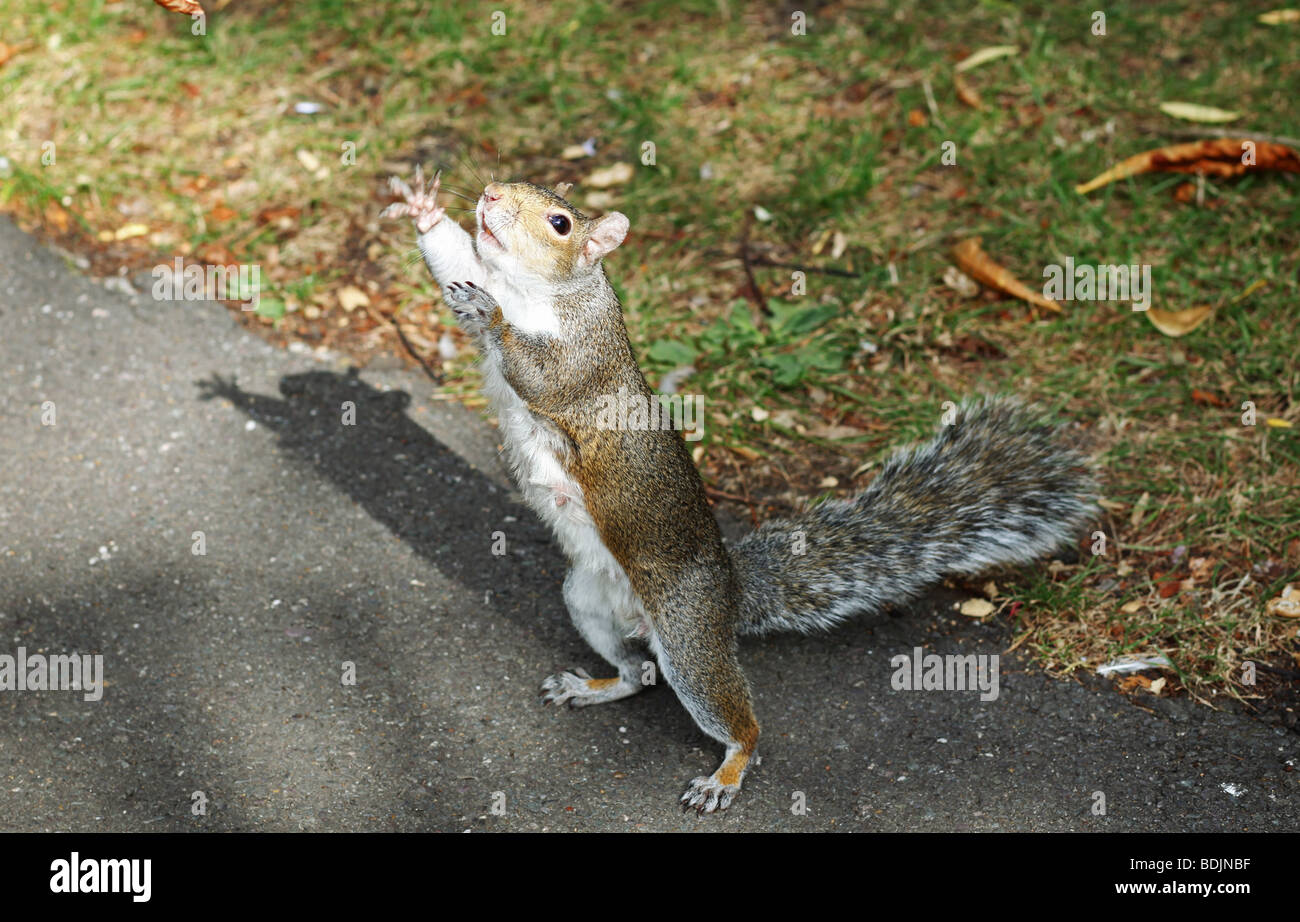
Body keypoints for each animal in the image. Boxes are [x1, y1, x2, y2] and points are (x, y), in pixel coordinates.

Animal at [382, 167, 1097, 811]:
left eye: (559, 223)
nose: (489, 194)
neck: (529, 287)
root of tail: (729, 590)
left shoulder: (584, 363)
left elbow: (541, 373)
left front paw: (494, 314)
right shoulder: (479, 275)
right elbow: (453, 258)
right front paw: (423, 209)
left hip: (688, 637)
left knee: (729, 715)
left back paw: (725, 774)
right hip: (587, 600)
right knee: (639, 674)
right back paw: (596, 687)